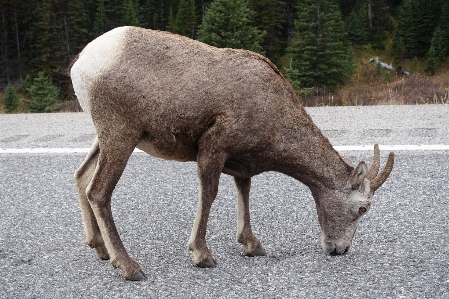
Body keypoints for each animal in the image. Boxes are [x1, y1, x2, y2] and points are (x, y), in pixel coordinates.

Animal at [69, 26, 392, 282]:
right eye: (362, 208)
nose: (340, 250)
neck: (275, 113)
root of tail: (82, 63)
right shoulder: (213, 149)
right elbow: (209, 195)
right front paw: (202, 255)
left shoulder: (240, 164)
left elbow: (244, 193)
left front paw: (252, 245)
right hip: (121, 135)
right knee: (99, 191)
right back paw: (129, 267)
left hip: (104, 138)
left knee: (82, 176)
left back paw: (99, 249)